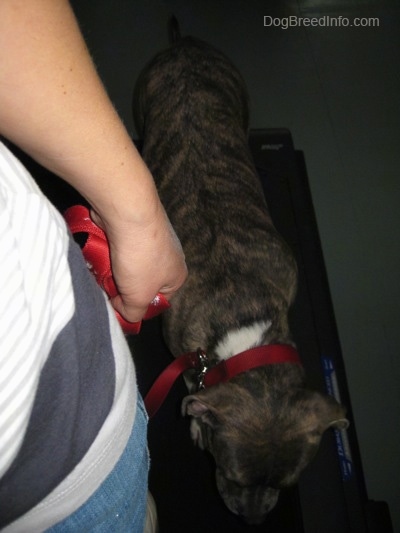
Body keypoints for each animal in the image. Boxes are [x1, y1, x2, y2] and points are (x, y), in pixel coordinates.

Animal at [134, 26, 346, 524]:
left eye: (286, 485)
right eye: (230, 474)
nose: (251, 519)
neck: (243, 318)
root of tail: (184, 46)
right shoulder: (183, 348)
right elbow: (192, 387)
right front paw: (195, 422)